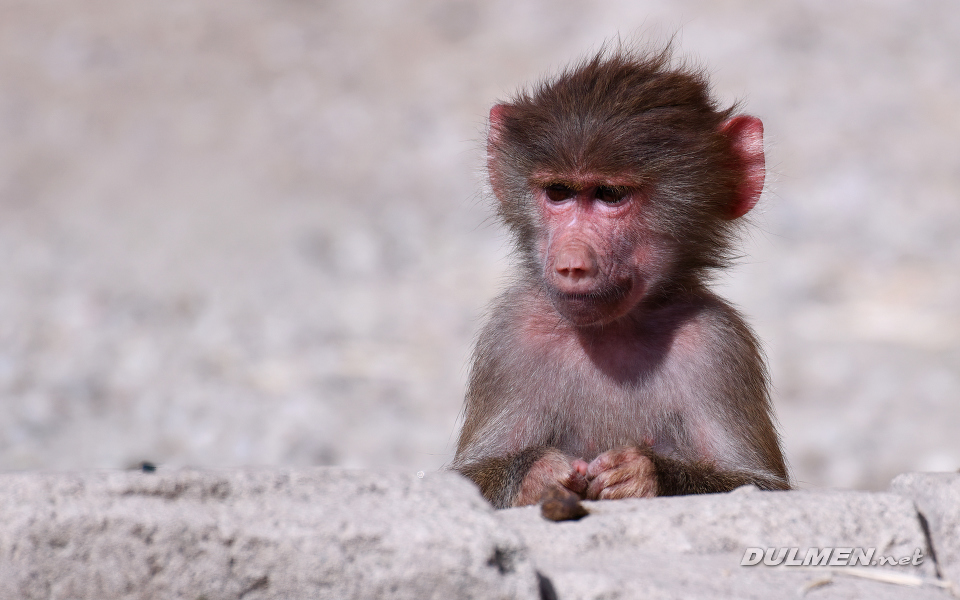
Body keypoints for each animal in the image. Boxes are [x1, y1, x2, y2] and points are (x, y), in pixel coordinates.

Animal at [451, 46, 790, 509]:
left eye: (610, 195)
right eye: (558, 192)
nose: (571, 265)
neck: (613, 330)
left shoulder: (720, 343)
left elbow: (762, 487)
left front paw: (643, 475)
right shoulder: (509, 335)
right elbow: (457, 482)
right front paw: (538, 474)